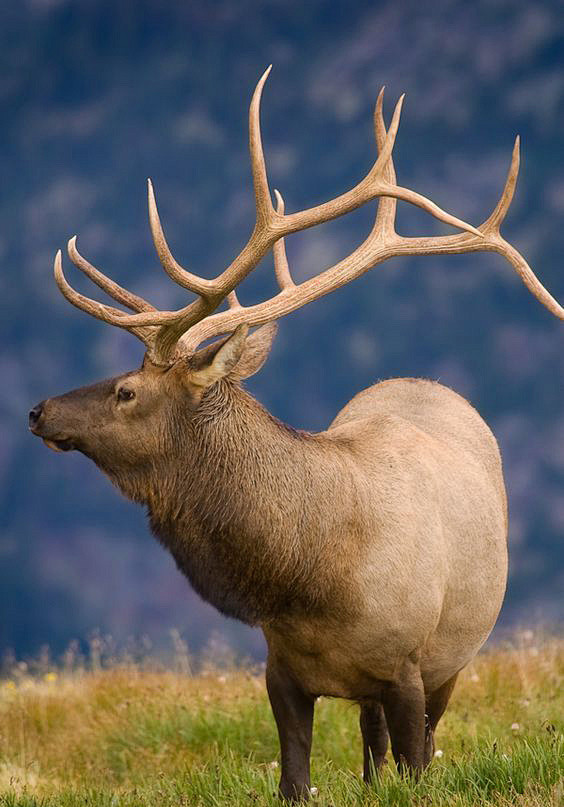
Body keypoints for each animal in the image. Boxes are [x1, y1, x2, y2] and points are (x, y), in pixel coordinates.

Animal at [29, 71, 560, 800]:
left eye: (127, 390)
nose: (38, 410)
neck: (312, 584)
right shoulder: (281, 670)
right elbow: (295, 780)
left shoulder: (410, 664)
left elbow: (416, 766)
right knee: (371, 750)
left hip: (456, 653)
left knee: (413, 746)